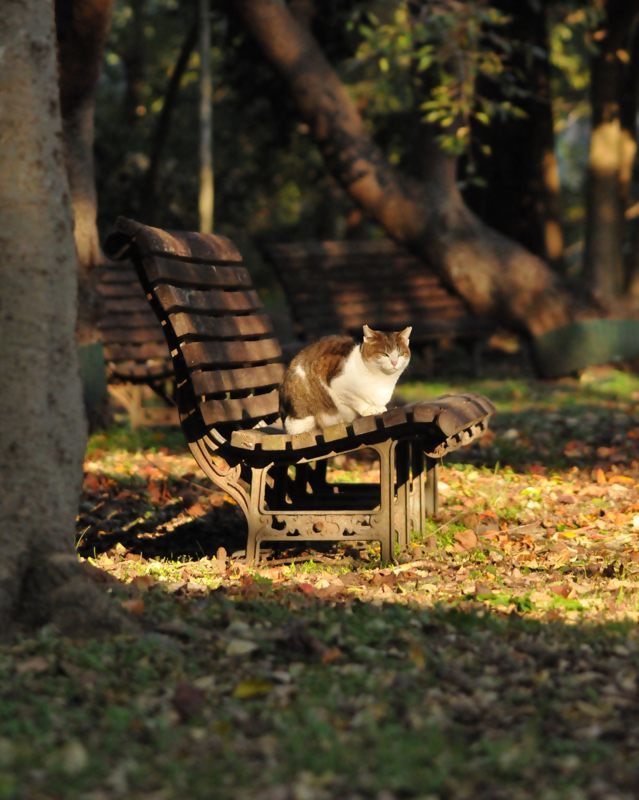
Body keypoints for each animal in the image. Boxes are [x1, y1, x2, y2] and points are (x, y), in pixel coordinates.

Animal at [282, 324, 412, 434]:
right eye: (385, 354)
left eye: (400, 354)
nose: (394, 362)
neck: (382, 380)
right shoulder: (331, 377)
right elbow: (355, 399)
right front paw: (368, 409)